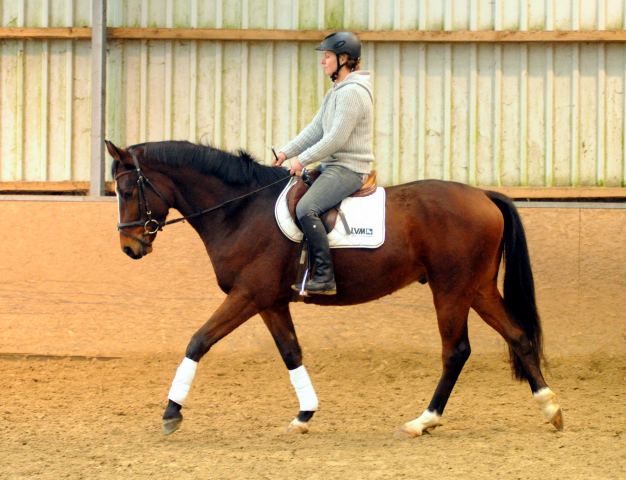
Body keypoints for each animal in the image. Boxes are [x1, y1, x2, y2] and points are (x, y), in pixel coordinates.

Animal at [105, 140, 564, 438]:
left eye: (127, 190)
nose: (129, 247)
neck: (240, 210)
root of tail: (483, 196)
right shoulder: (270, 302)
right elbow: (291, 353)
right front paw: (304, 415)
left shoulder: (248, 295)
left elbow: (198, 341)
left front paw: (171, 413)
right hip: (478, 288)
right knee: (519, 336)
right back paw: (550, 407)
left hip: (451, 290)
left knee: (456, 351)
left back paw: (424, 420)